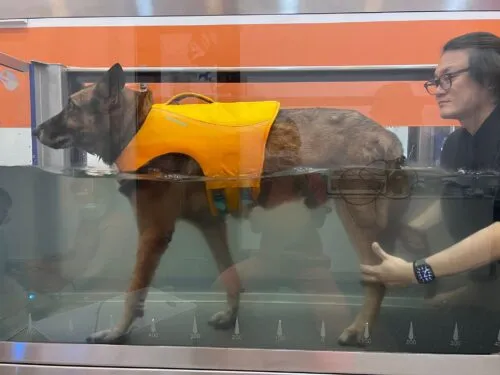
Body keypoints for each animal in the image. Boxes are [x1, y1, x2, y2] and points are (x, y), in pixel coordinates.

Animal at [31, 63, 424, 348]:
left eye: (71, 107)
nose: (34, 131)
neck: (137, 126)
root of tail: (387, 136)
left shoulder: (153, 233)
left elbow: (133, 292)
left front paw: (117, 332)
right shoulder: (211, 225)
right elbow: (230, 275)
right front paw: (231, 316)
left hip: (355, 216)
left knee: (377, 280)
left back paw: (359, 329)